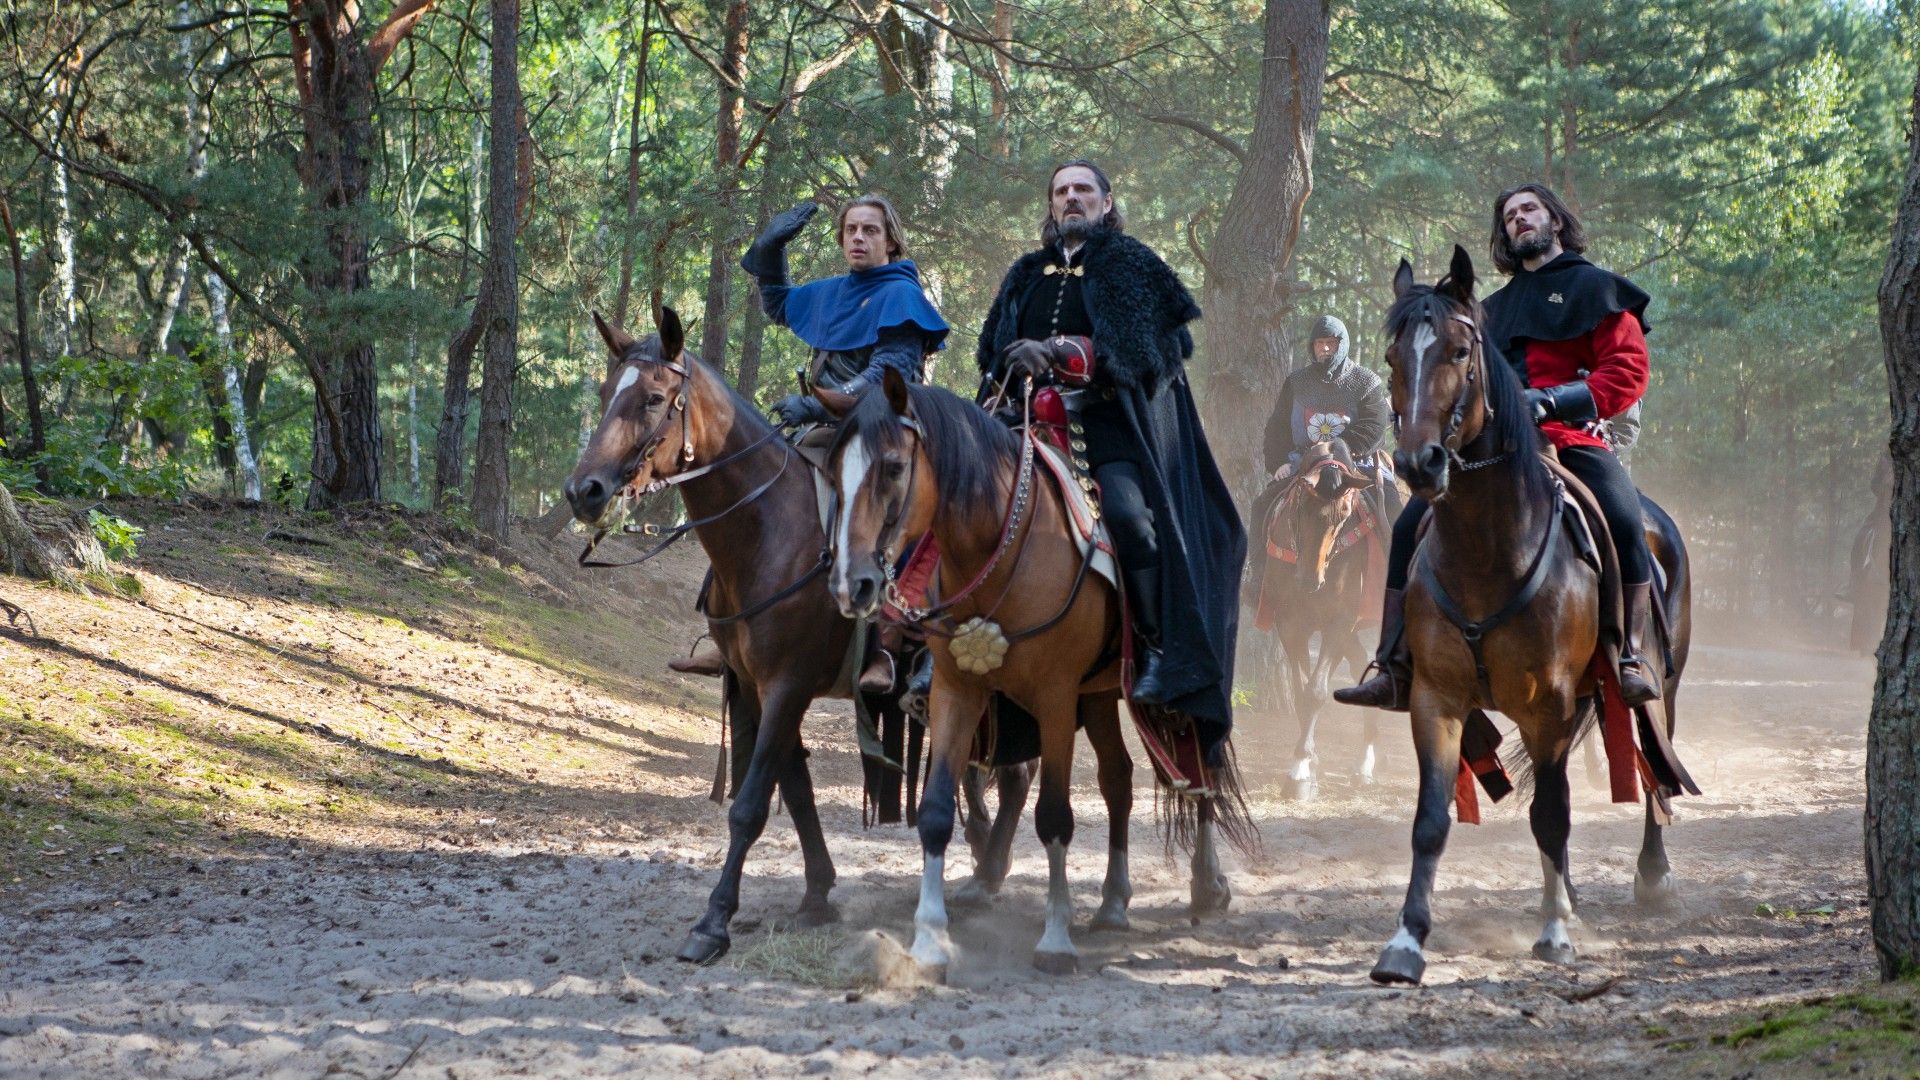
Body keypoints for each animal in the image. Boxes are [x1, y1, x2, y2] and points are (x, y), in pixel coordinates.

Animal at [560, 307, 1029, 960]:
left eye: (653, 398)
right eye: (606, 394)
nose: (584, 491)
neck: (769, 530)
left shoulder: (788, 683)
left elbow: (753, 802)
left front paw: (714, 920)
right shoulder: (758, 686)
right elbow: (797, 787)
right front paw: (817, 893)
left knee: (1015, 773)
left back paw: (988, 879)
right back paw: (986, 865)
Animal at [1367, 249, 1697, 983]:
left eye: (1460, 351)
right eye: (1393, 357)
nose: (1418, 463)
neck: (1489, 547)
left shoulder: (1548, 701)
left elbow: (1550, 813)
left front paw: (1554, 932)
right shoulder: (1438, 700)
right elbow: (1431, 821)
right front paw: (1405, 942)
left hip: (1657, 683)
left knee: (1650, 765)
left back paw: (1653, 875)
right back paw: (1568, 889)